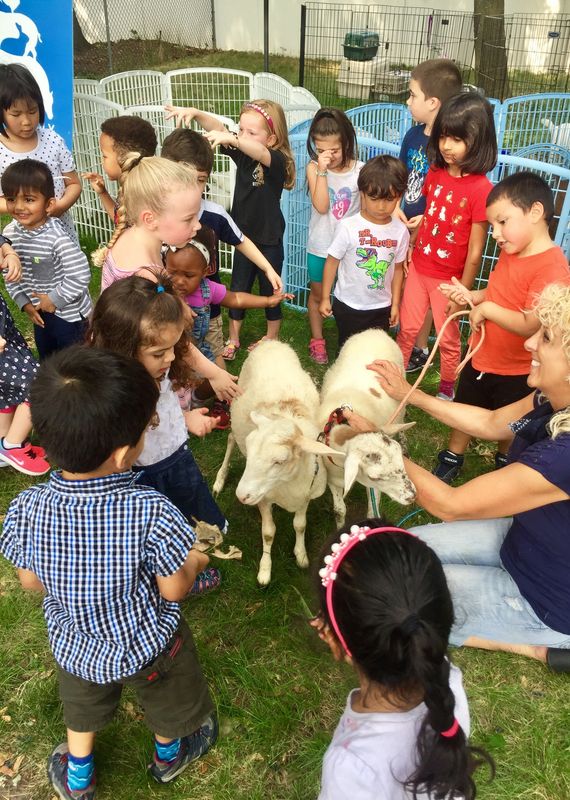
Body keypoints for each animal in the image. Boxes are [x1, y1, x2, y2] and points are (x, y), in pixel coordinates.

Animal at [211, 338, 340, 580]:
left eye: (280, 461)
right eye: (251, 453)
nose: (242, 495)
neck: (288, 485)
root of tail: (271, 341)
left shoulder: (305, 495)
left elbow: (300, 525)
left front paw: (301, 555)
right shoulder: (263, 498)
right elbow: (269, 532)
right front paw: (265, 569)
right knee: (231, 439)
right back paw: (220, 479)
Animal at [318, 326, 414, 524]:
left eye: (399, 457)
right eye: (374, 476)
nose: (412, 497)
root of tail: (375, 331)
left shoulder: (373, 489)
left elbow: (372, 512)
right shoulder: (333, 478)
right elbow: (339, 510)